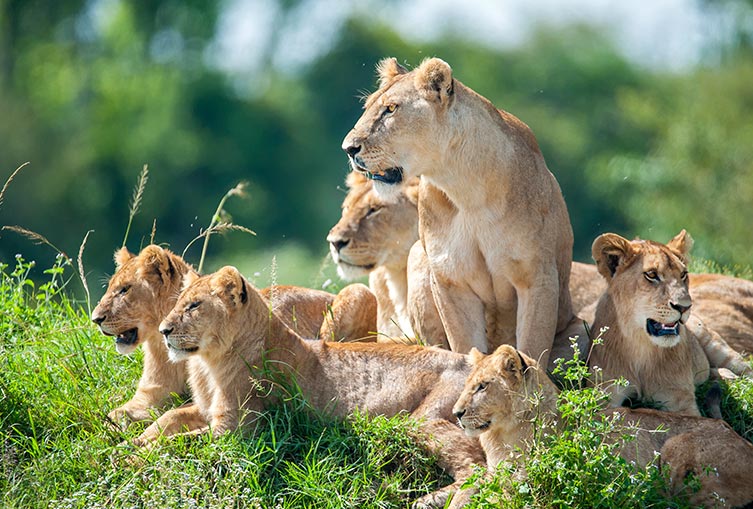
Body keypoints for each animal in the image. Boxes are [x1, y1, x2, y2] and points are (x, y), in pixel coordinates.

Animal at [92, 244, 376, 426]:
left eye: (125, 290)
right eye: (111, 287)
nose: (95, 319)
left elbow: (171, 414)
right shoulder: (152, 393)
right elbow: (115, 415)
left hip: (357, 292)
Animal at [142, 266, 482, 508]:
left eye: (194, 306)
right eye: (178, 304)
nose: (163, 330)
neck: (208, 364)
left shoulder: (237, 433)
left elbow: (181, 443)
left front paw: (136, 455)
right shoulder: (205, 410)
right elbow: (168, 418)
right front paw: (135, 439)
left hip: (423, 420)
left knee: (478, 468)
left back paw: (437, 501)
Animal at [340, 56, 580, 370]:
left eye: (391, 109)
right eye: (367, 108)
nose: (348, 148)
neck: (466, 190)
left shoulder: (538, 277)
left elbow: (532, 350)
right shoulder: (450, 279)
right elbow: (466, 345)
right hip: (418, 255)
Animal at [450, 344, 752, 506]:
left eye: (482, 387)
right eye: (467, 384)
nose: (456, 413)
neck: (500, 435)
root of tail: (743, 440)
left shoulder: (531, 479)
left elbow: (499, 499)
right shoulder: (494, 472)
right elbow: (466, 491)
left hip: (675, 447)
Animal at [592, 232, 748, 414]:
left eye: (683, 274)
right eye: (651, 275)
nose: (684, 307)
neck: (641, 349)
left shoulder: (680, 399)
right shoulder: (605, 394)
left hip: (719, 348)